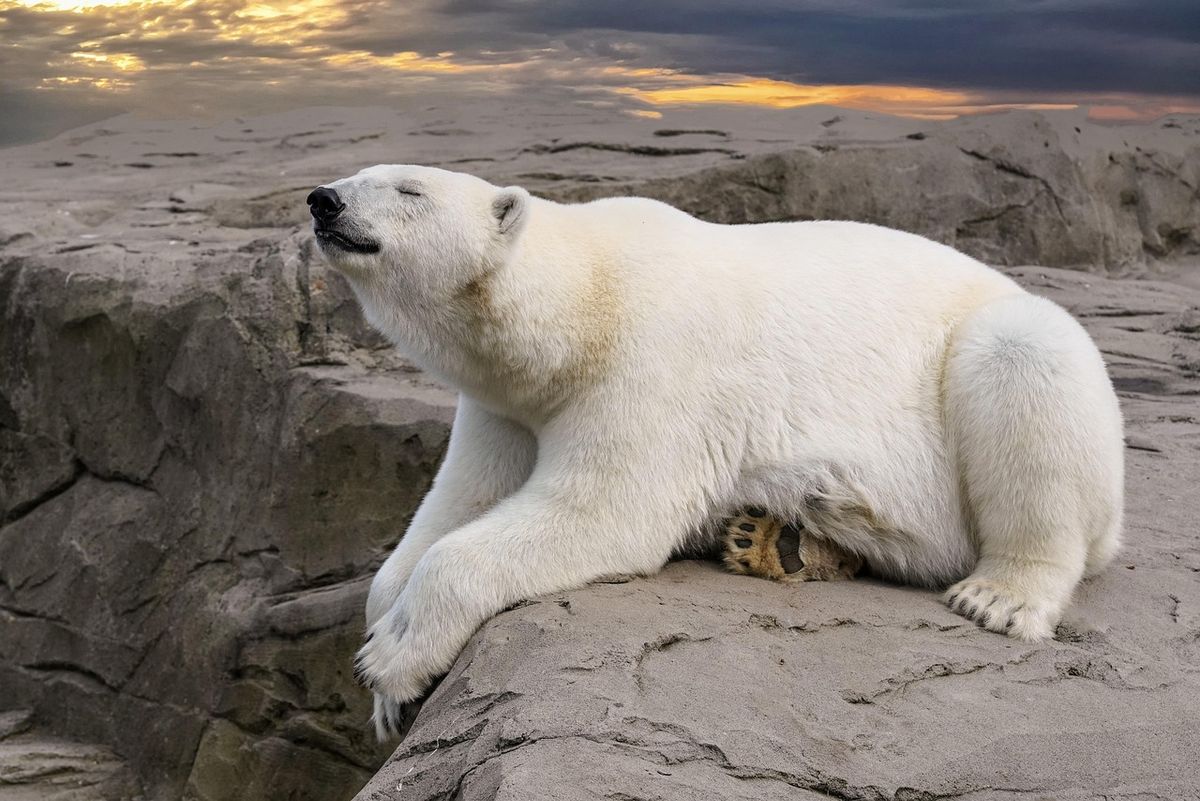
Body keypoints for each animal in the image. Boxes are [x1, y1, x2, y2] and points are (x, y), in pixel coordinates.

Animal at [306, 165, 1124, 739]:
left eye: (409, 188)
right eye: (363, 172)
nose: (323, 201)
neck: (584, 302)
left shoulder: (655, 360)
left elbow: (603, 511)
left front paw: (392, 657)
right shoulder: (505, 404)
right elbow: (459, 502)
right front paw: (387, 680)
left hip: (1000, 365)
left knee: (1023, 363)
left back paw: (999, 594)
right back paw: (776, 537)